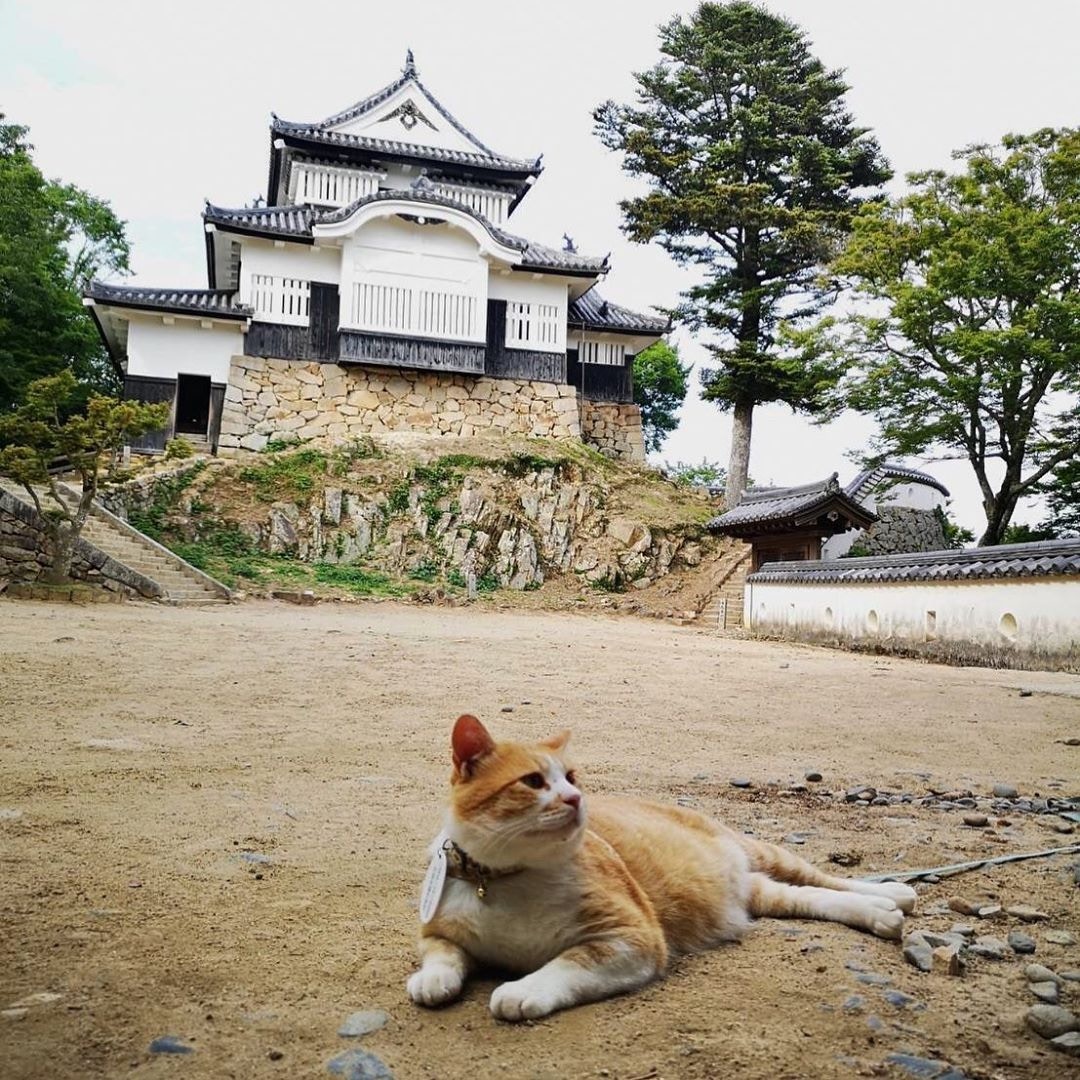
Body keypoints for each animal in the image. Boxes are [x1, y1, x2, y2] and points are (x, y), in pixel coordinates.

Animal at [408, 717, 915, 1019]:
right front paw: (433, 979)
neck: (502, 881)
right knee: (811, 897)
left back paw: (894, 895)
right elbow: (442, 954)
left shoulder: (634, 939)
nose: (576, 798)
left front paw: (522, 990)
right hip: (763, 892)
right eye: (533, 781)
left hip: (761, 851)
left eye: (571, 778)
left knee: (825, 878)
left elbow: (567, 963)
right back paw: (881, 910)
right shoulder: (438, 932)